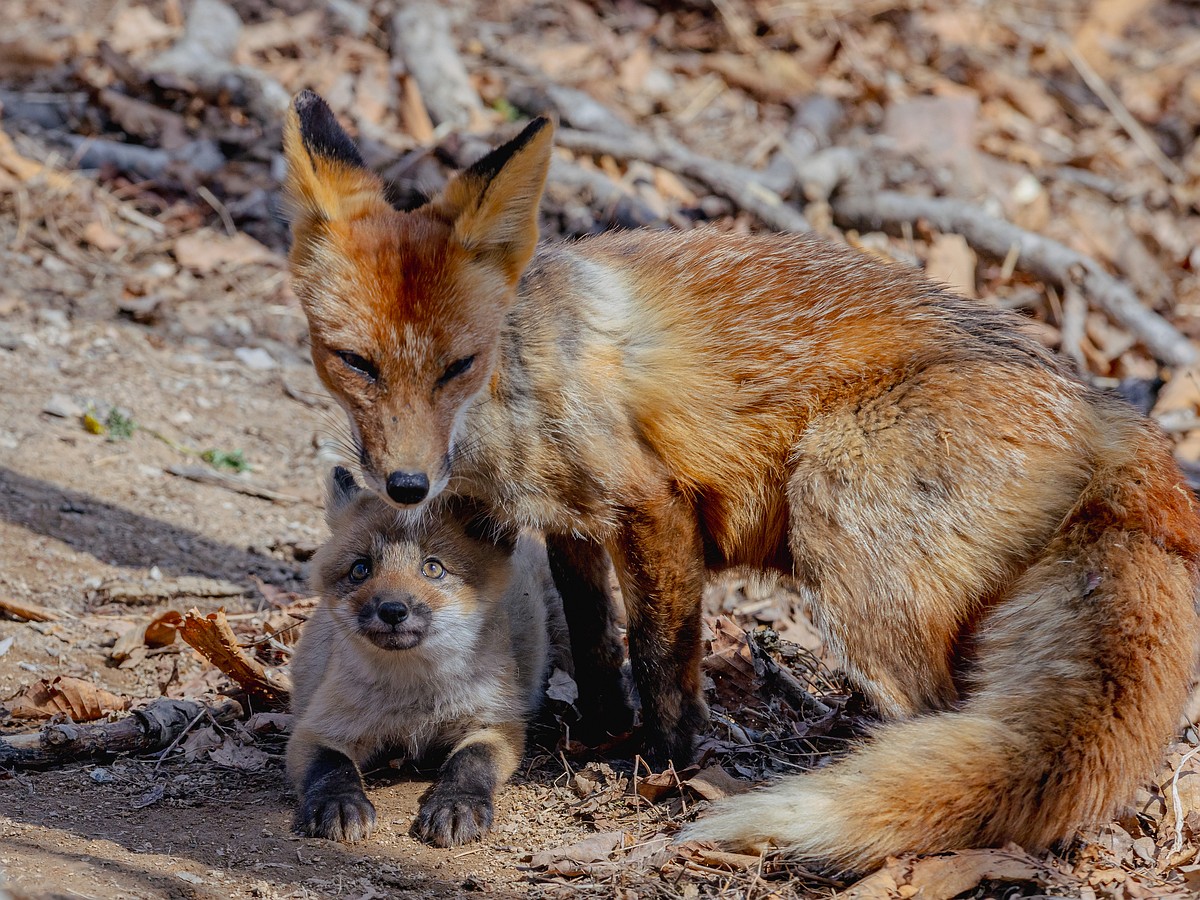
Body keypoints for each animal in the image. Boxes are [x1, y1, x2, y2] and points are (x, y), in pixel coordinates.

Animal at [283, 93, 1200, 873]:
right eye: (354, 362)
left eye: (457, 366)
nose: (406, 485)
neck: (515, 388)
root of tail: (1110, 413)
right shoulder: (570, 518)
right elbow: (594, 631)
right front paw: (605, 730)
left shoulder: (650, 504)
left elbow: (660, 653)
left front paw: (672, 760)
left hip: (839, 504)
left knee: (935, 715)